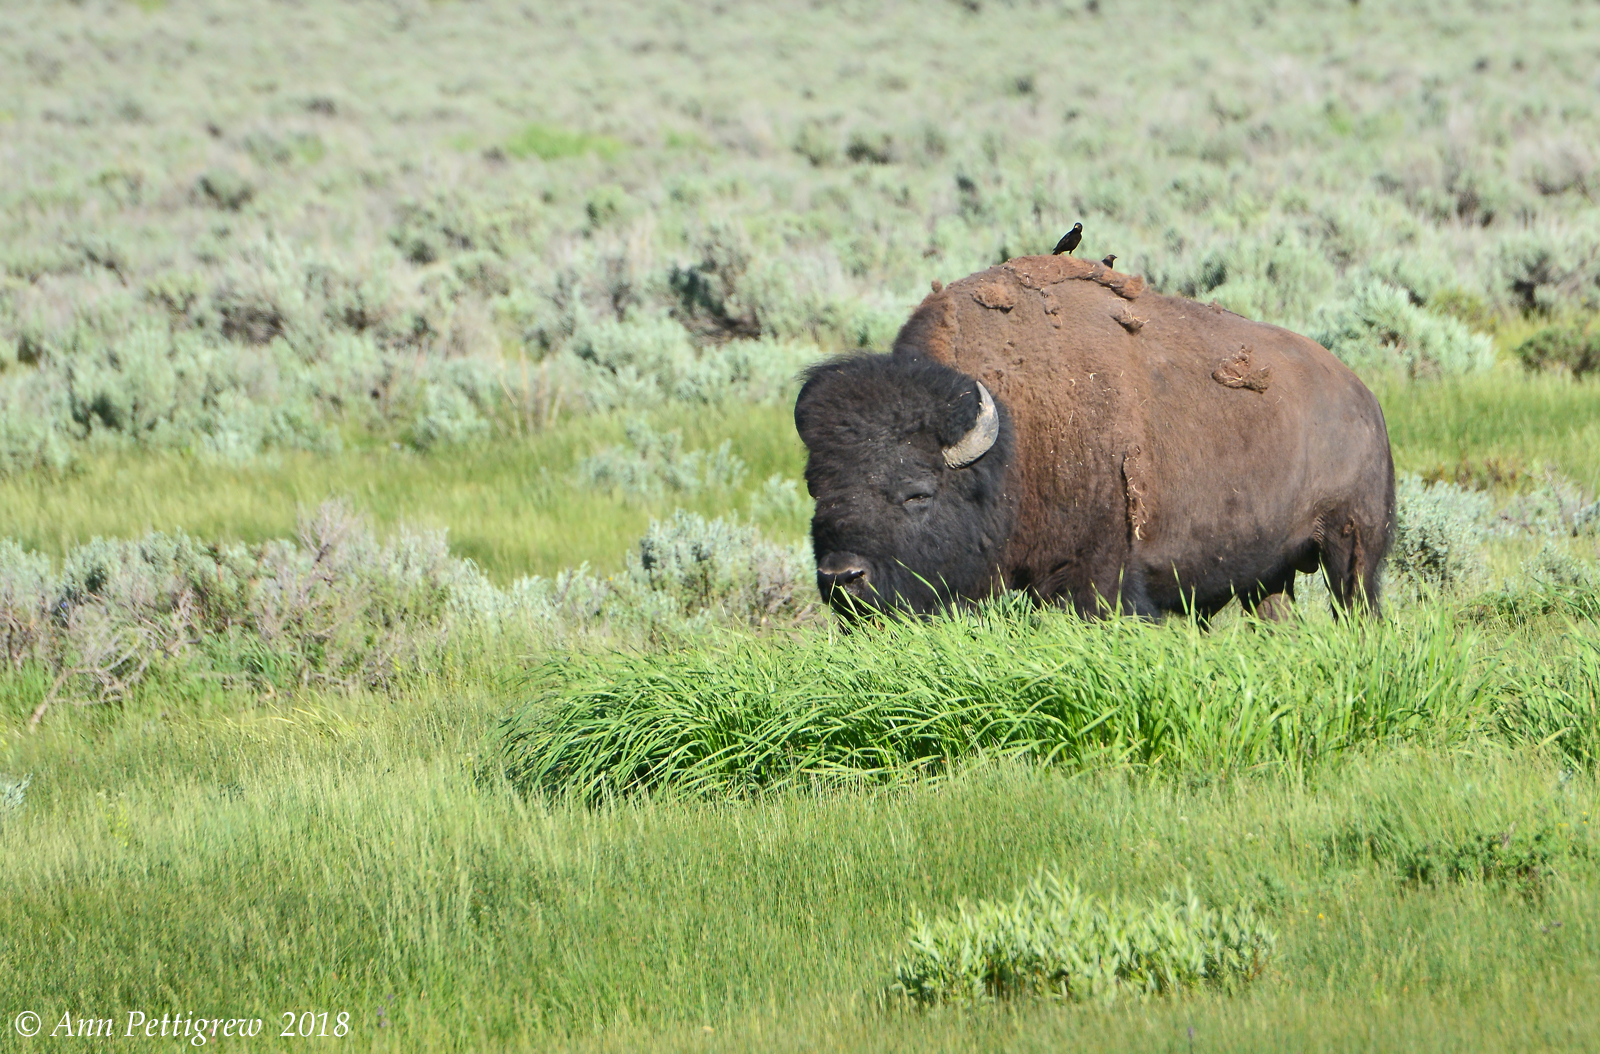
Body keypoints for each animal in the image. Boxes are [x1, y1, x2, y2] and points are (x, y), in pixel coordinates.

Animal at [793, 254, 1395, 617]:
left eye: (917, 493)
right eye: (816, 489)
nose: (840, 579)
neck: (1015, 433)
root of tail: (1362, 395)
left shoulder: (1096, 579)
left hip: (1352, 549)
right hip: (1268, 576)